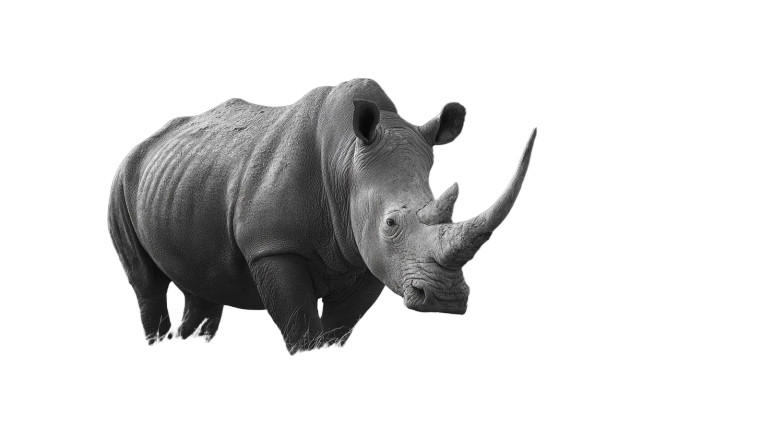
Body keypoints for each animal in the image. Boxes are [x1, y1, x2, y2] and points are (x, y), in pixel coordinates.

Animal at [108, 78, 536, 353]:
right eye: (391, 224)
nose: (444, 298)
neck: (346, 163)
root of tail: (145, 142)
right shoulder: (274, 247)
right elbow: (301, 330)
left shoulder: (365, 258)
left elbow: (337, 330)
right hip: (122, 177)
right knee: (147, 285)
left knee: (202, 291)